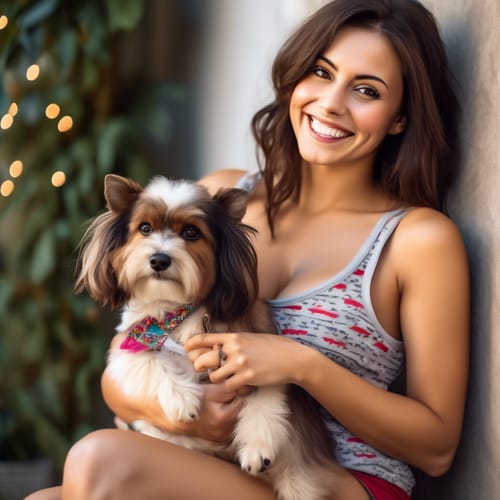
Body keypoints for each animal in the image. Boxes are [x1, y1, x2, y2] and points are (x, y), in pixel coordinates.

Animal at [74, 175, 338, 500]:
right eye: (144, 228)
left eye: (191, 232)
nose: (159, 259)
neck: (179, 310)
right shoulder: (130, 340)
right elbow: (148, 357)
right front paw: (182, 398)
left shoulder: (258, 349)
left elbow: (267, 394)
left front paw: (256, 446)